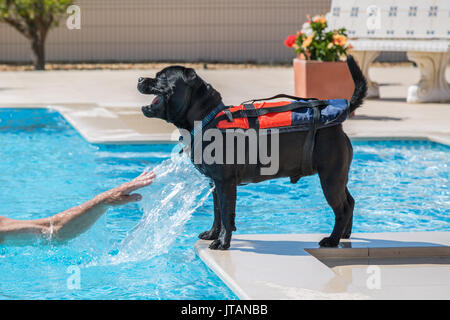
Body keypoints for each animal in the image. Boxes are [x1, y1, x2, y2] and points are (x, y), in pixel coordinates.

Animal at [139, 56, 368, 249]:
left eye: (161, 77)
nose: (140, 78)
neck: (206, 118)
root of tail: (340, 120)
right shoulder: (215, 183)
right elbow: (217, 212)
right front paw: (213, 234)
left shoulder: (225, 182)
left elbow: (226, 213)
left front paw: (222, 242)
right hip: (337, 177)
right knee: (350, 202)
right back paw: (345, 235)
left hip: (329, 178)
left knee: (342, 208)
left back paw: (332, 240)